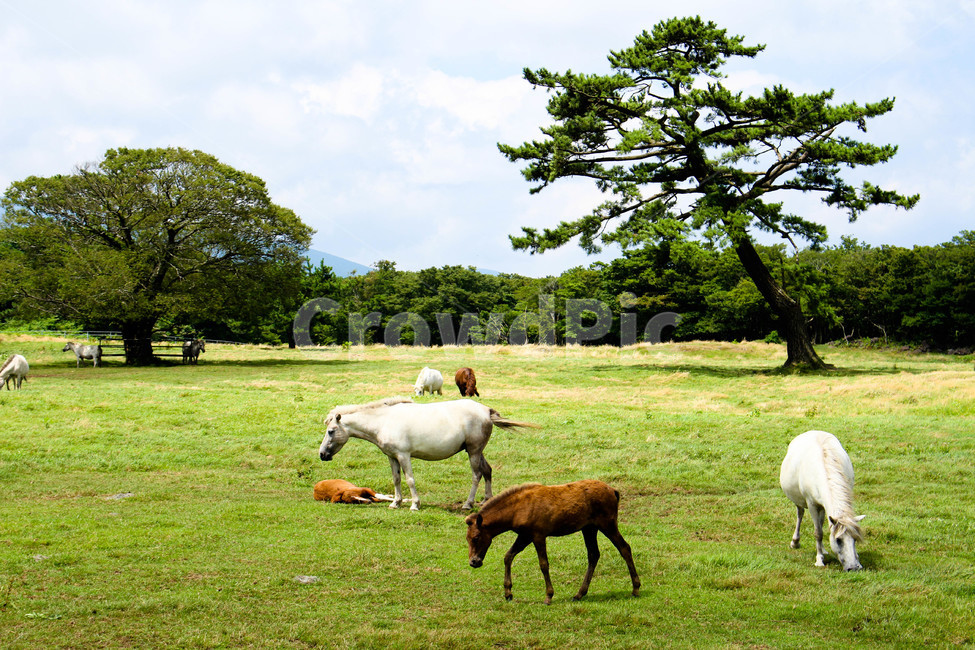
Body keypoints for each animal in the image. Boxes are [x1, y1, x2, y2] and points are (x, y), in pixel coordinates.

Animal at [319, 397, 538, 510]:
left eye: (331, 431)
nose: (322, 455)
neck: (383, 420)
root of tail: (486, 411)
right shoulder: (392, 457)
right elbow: (396, 479)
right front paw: (396, 503)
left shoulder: (404, 455)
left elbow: (409, 480)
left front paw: (415, 504)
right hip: (476, 451)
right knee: (487, 471)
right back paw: (486, 500)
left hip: (474, 452)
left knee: (476, 475)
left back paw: (468, 504)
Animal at [465, 480, 641, 604]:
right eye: (467, 539)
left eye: (476, 537)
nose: (474, 562)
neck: (517, 509)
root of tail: (613, 491)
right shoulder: (525, 535)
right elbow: (508, 556)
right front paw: (508, 592)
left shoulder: (538, 535)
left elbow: (543, 564)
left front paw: (548, 596)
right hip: (589, 528)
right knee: (593, 554)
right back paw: (579, 594)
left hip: (607, 525)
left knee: (624, 548)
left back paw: (636, 589)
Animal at [779, 430, 865, 571]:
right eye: (838, 540)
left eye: (855, 539)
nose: (853, 567)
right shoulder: (812, 504)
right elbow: (818, 532)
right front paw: (819, 560)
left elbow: (822, 527)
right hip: (800, 502)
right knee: (800, 514)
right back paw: (795, 542)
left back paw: (823, 549)